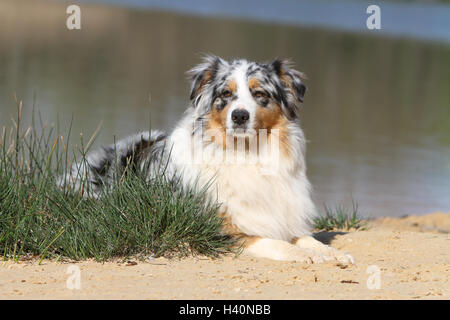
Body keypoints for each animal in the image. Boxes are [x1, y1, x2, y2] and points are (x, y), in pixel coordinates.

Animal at [60, 57, 356, 264]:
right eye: (226, 94)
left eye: (260, 94)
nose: (239, 116)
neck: (246, 154)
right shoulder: (219, 230)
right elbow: (274, 242)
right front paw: (311, 256)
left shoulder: (282, 217)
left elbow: (307, 239)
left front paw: (334, 254)